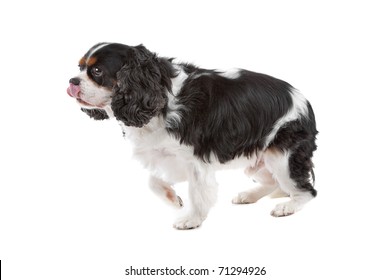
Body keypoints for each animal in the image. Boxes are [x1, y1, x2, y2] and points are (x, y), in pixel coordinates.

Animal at [66, 42, 316, 229]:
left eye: (96, 71)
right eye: (79, 67)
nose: (72, 81)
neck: (158, 93)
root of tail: (306, 103)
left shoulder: (195, 160)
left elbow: (197, 192)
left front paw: (192, 219)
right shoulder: (167, 155)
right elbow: (153, 181)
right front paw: (172, 198)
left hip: (282, 157)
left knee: (305, 191)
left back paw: (287, 207)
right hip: (257, 160)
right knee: (274, 183)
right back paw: (249, 195)